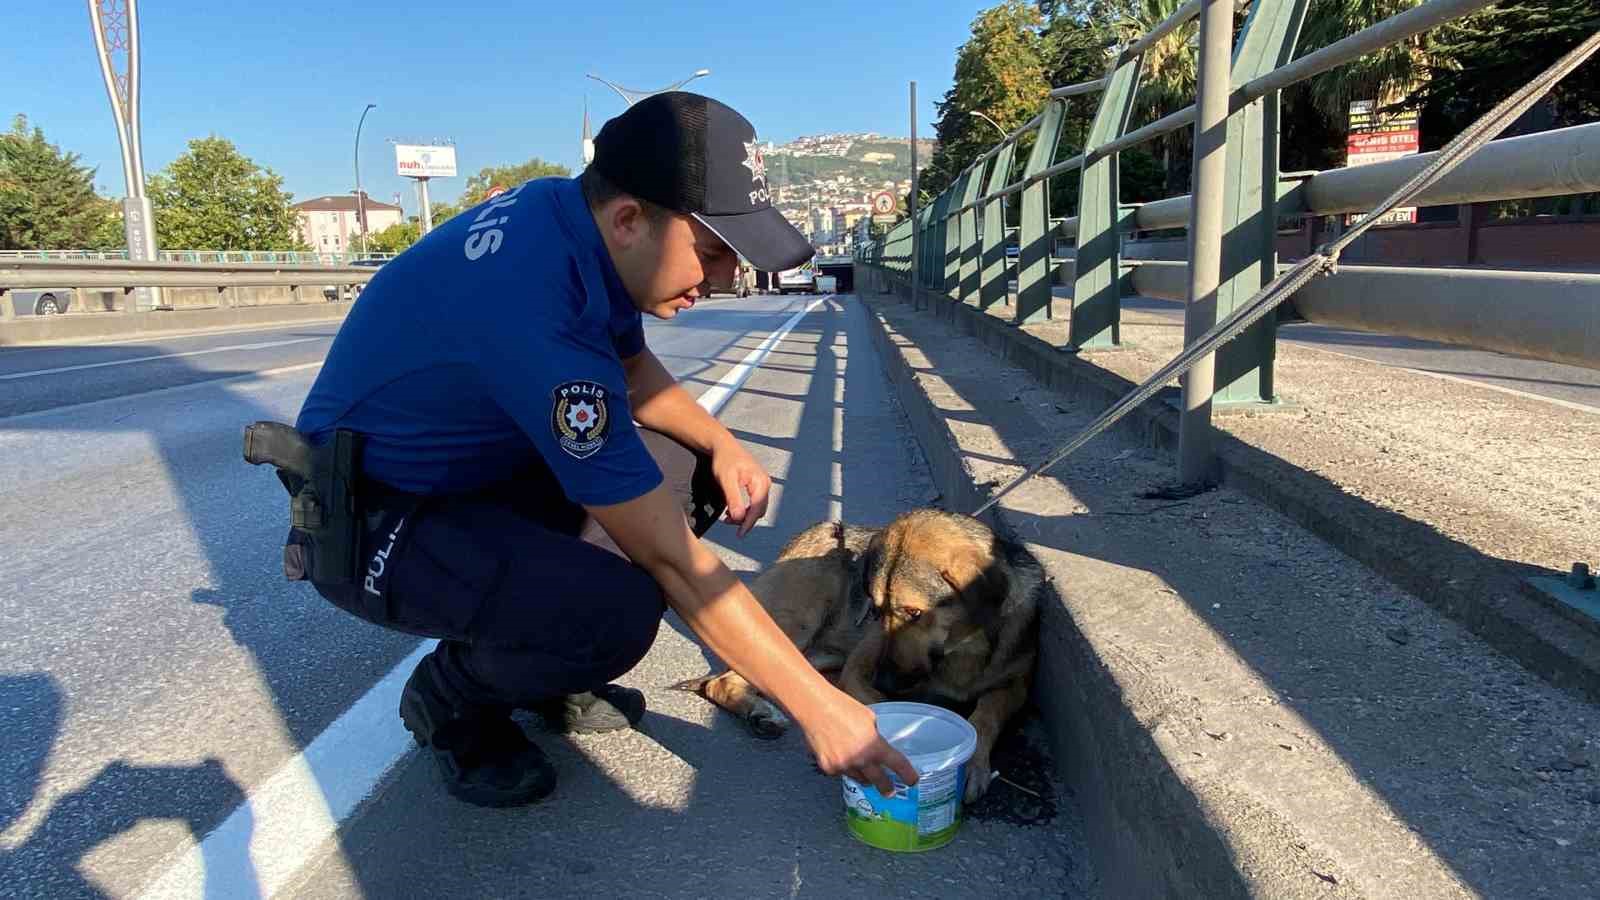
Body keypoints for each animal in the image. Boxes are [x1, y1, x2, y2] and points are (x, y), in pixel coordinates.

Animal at [672, 506, 1036, 797]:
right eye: (876, 609)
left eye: (914, 612)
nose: (886, 679)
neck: (961, 648)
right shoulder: (859, 668)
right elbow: (878, 706)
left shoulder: (1015, 687)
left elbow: (986, 714)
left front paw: (975, 762)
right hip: (792, 625)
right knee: (722, 681)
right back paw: (761, 713)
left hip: (813, 652)